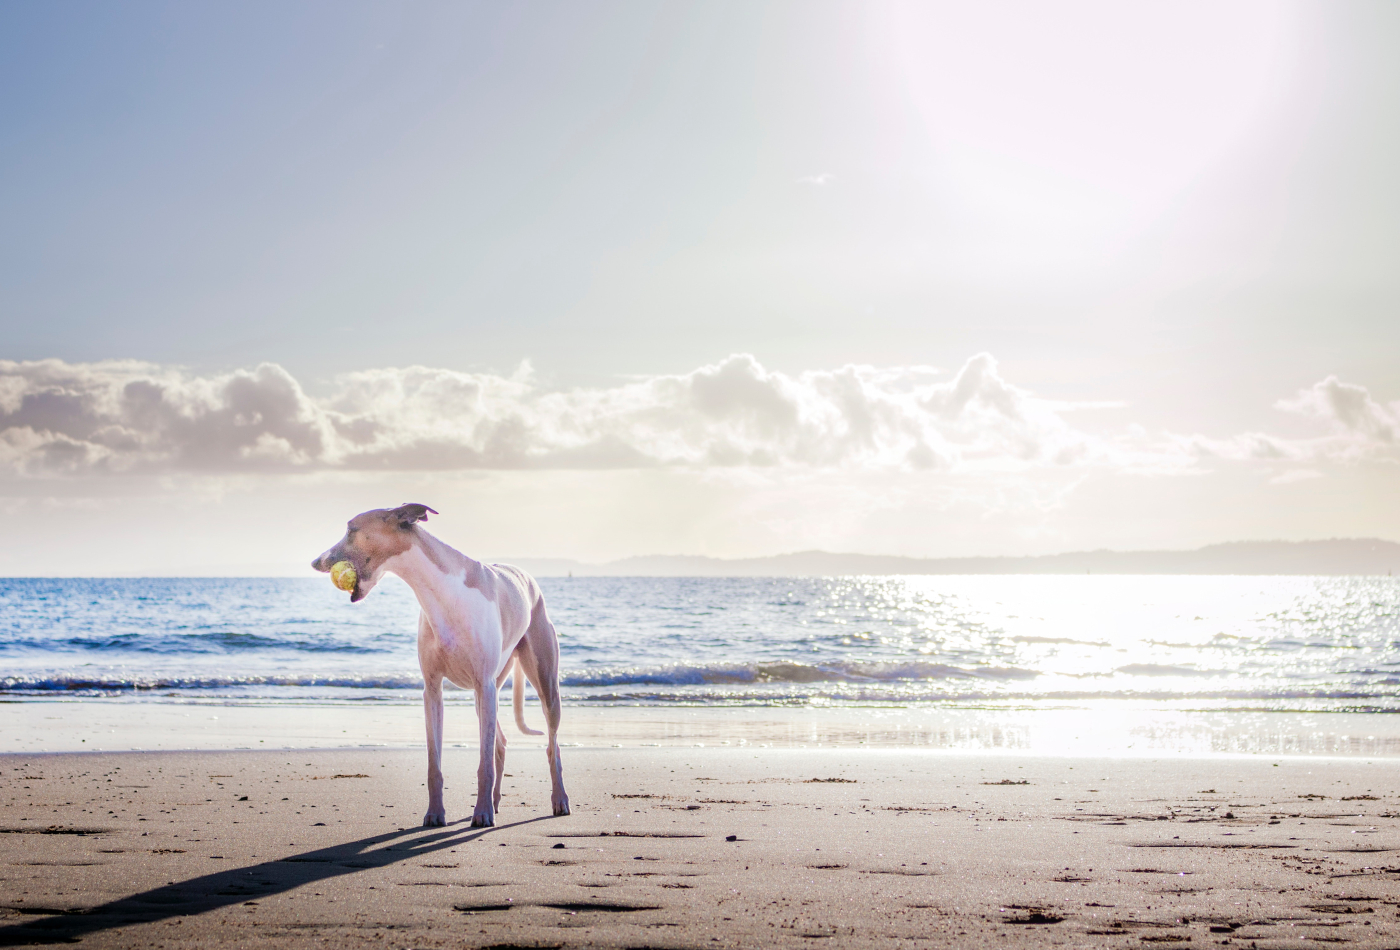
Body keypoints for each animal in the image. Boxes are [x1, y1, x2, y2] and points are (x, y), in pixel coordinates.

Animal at [312, 506, 568, 822]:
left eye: (351, 530)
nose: (315, 562)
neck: (442, 593)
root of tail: (527, 578)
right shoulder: (433, 689)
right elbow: (435, 763)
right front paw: (435, 813)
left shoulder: (483, 683)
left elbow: (483, 763)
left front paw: (481, 813)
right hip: (487, 695)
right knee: (500, 744)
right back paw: (495, 801)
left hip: (541, 684)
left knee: (552, 746)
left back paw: (558, 799)